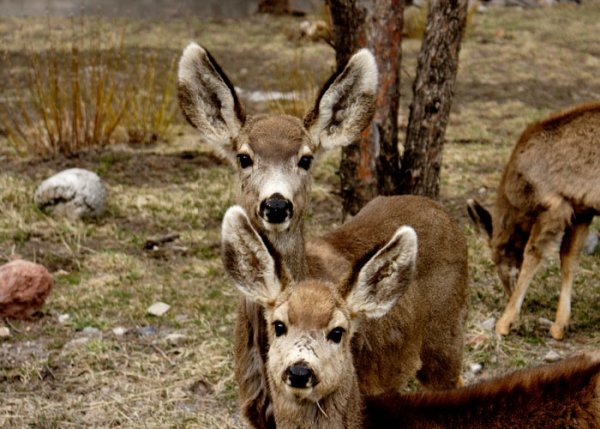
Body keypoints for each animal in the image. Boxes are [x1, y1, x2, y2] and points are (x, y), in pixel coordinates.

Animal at [468, 102, 600, 340]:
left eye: (496, 254)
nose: (507, 290)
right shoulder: (581, 210)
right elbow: (569, 257)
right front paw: (559, 326)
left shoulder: (554, 204)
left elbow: (533, 253)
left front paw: (505, 322)